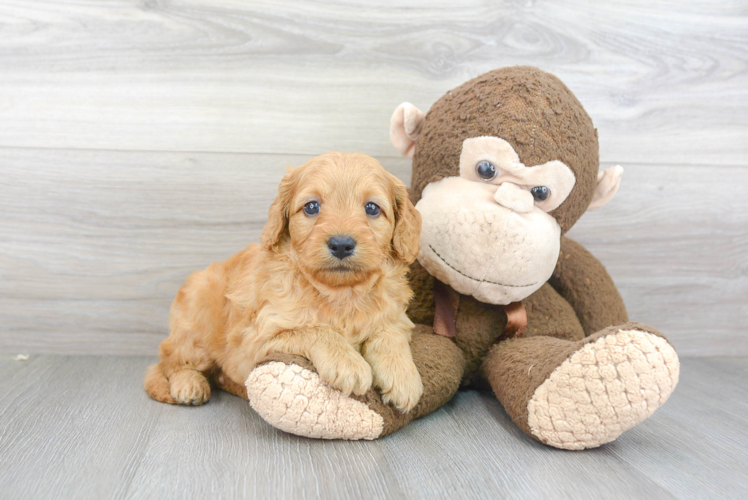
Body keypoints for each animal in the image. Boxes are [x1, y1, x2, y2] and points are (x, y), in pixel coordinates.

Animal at [145, 150, 424, 412]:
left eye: (372, 208)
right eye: (311, 207)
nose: (341, 244)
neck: (340, 293)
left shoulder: (396, 317)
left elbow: (389, 334)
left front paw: (403, 377)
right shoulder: (258, 339)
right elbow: (315, 330)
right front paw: (348, 363)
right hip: (196, 329)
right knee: (169, 362)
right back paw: (189, 385)